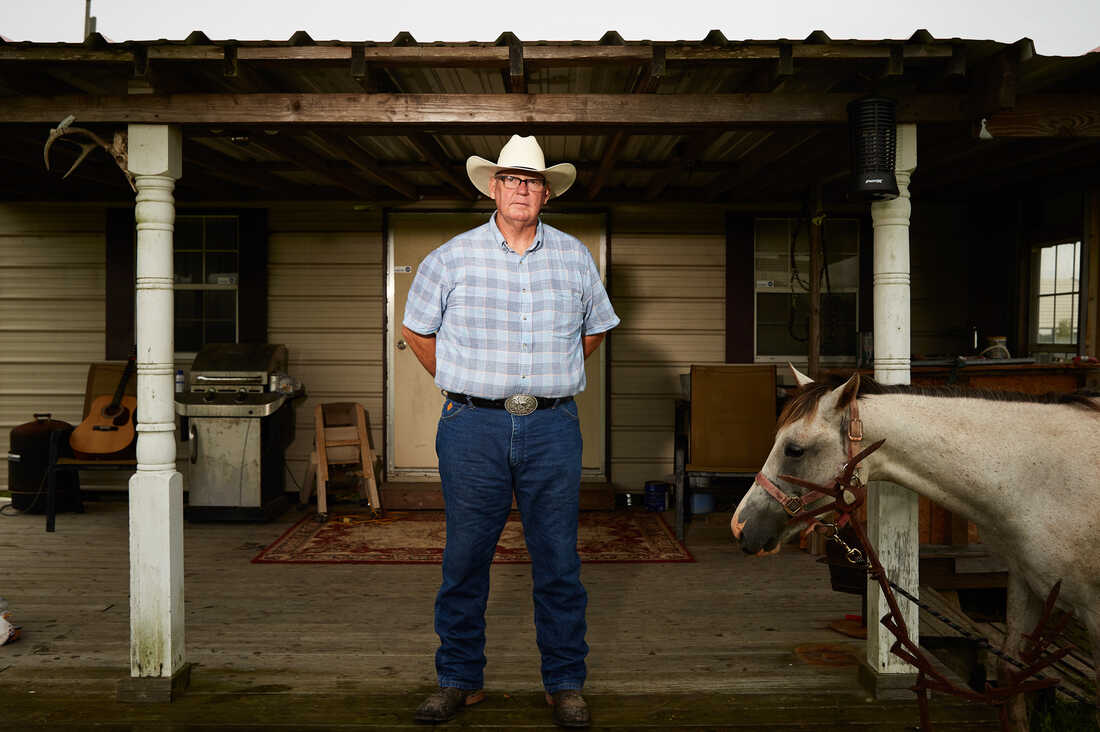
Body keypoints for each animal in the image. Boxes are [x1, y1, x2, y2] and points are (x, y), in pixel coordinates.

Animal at [730, 367, 1100, 726]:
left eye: (794, 449)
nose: (739, 526)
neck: (1035, 479)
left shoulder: (1091, 609)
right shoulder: (1027, 581)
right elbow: (1011, 673)